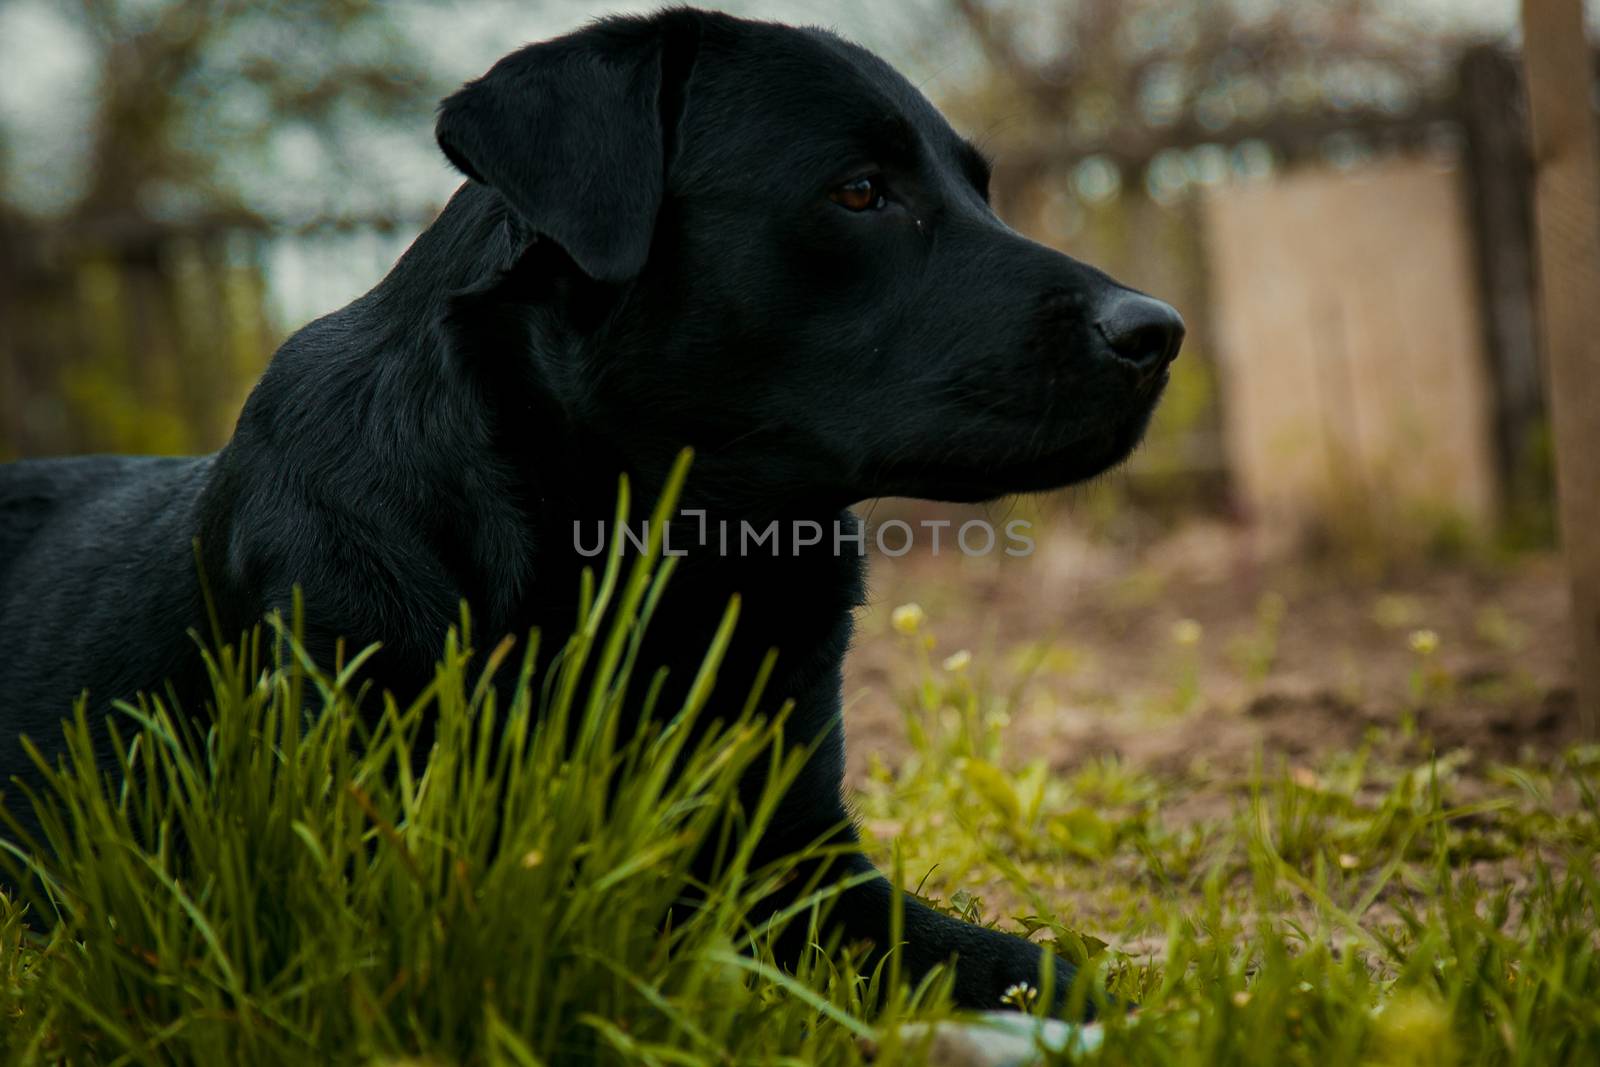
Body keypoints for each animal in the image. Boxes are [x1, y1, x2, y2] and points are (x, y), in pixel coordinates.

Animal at [0, 8, 1177, 1017]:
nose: (1157, 331)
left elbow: (1023, 964)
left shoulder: (795, 854)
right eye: (858, 192)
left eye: (980, 189)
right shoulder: (360, 869)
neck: (659, 554)